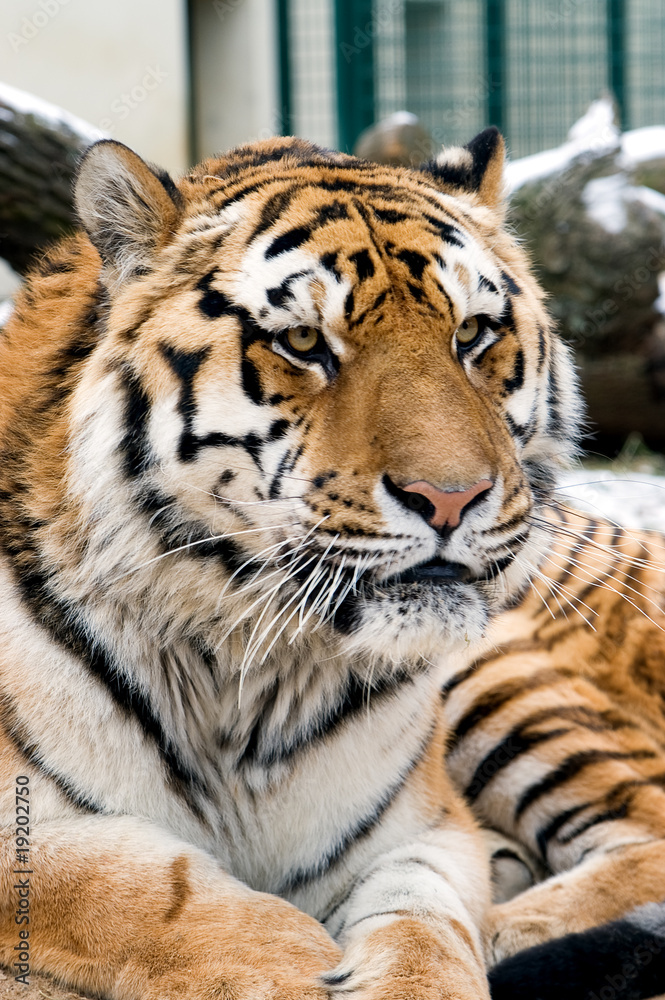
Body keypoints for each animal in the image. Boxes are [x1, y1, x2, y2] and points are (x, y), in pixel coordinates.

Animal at [0, 125, 664, 1000]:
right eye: (305, 342)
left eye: (471, 335)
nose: (450, 497)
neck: (239, 678)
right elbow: (137, 883)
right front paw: (286, 966)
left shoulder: (419, 825)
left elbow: (425, 922)